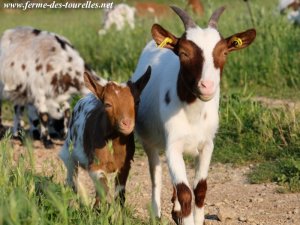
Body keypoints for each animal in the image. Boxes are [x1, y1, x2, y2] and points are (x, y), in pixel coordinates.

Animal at [59, 66, 151, 206]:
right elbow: (103, 189)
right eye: (108, 104)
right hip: (68, 151)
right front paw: (98, 210)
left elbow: (120, 192)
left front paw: (119, 212)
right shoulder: (95, 165)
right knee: (71, 178)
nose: (127, 123)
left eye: (137, 101)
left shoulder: (125, 164)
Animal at [131, 5, 255, 225]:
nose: (207, 86)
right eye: (184, 53)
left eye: (224, 52)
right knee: (156, 174)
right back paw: (157, 212)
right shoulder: (172, 146)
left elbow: (200, 189)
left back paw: (176, 212)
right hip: (149, 141)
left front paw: (195, 217)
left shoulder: (207, 145)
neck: (193, 114)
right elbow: (185, 191)